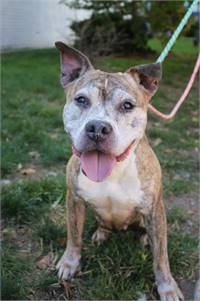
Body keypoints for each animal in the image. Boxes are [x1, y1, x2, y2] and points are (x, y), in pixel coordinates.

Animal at [55, 41, 184, 300]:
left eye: (127, 105)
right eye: (81, 100)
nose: (97, 128)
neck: (113, 171)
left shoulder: (154, 209)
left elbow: (161, 257)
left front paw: (167, 287)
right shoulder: (73, 200)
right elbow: (74, 237)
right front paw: (69, 263)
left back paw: (144, 240)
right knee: (102, 224)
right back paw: (101, 233)